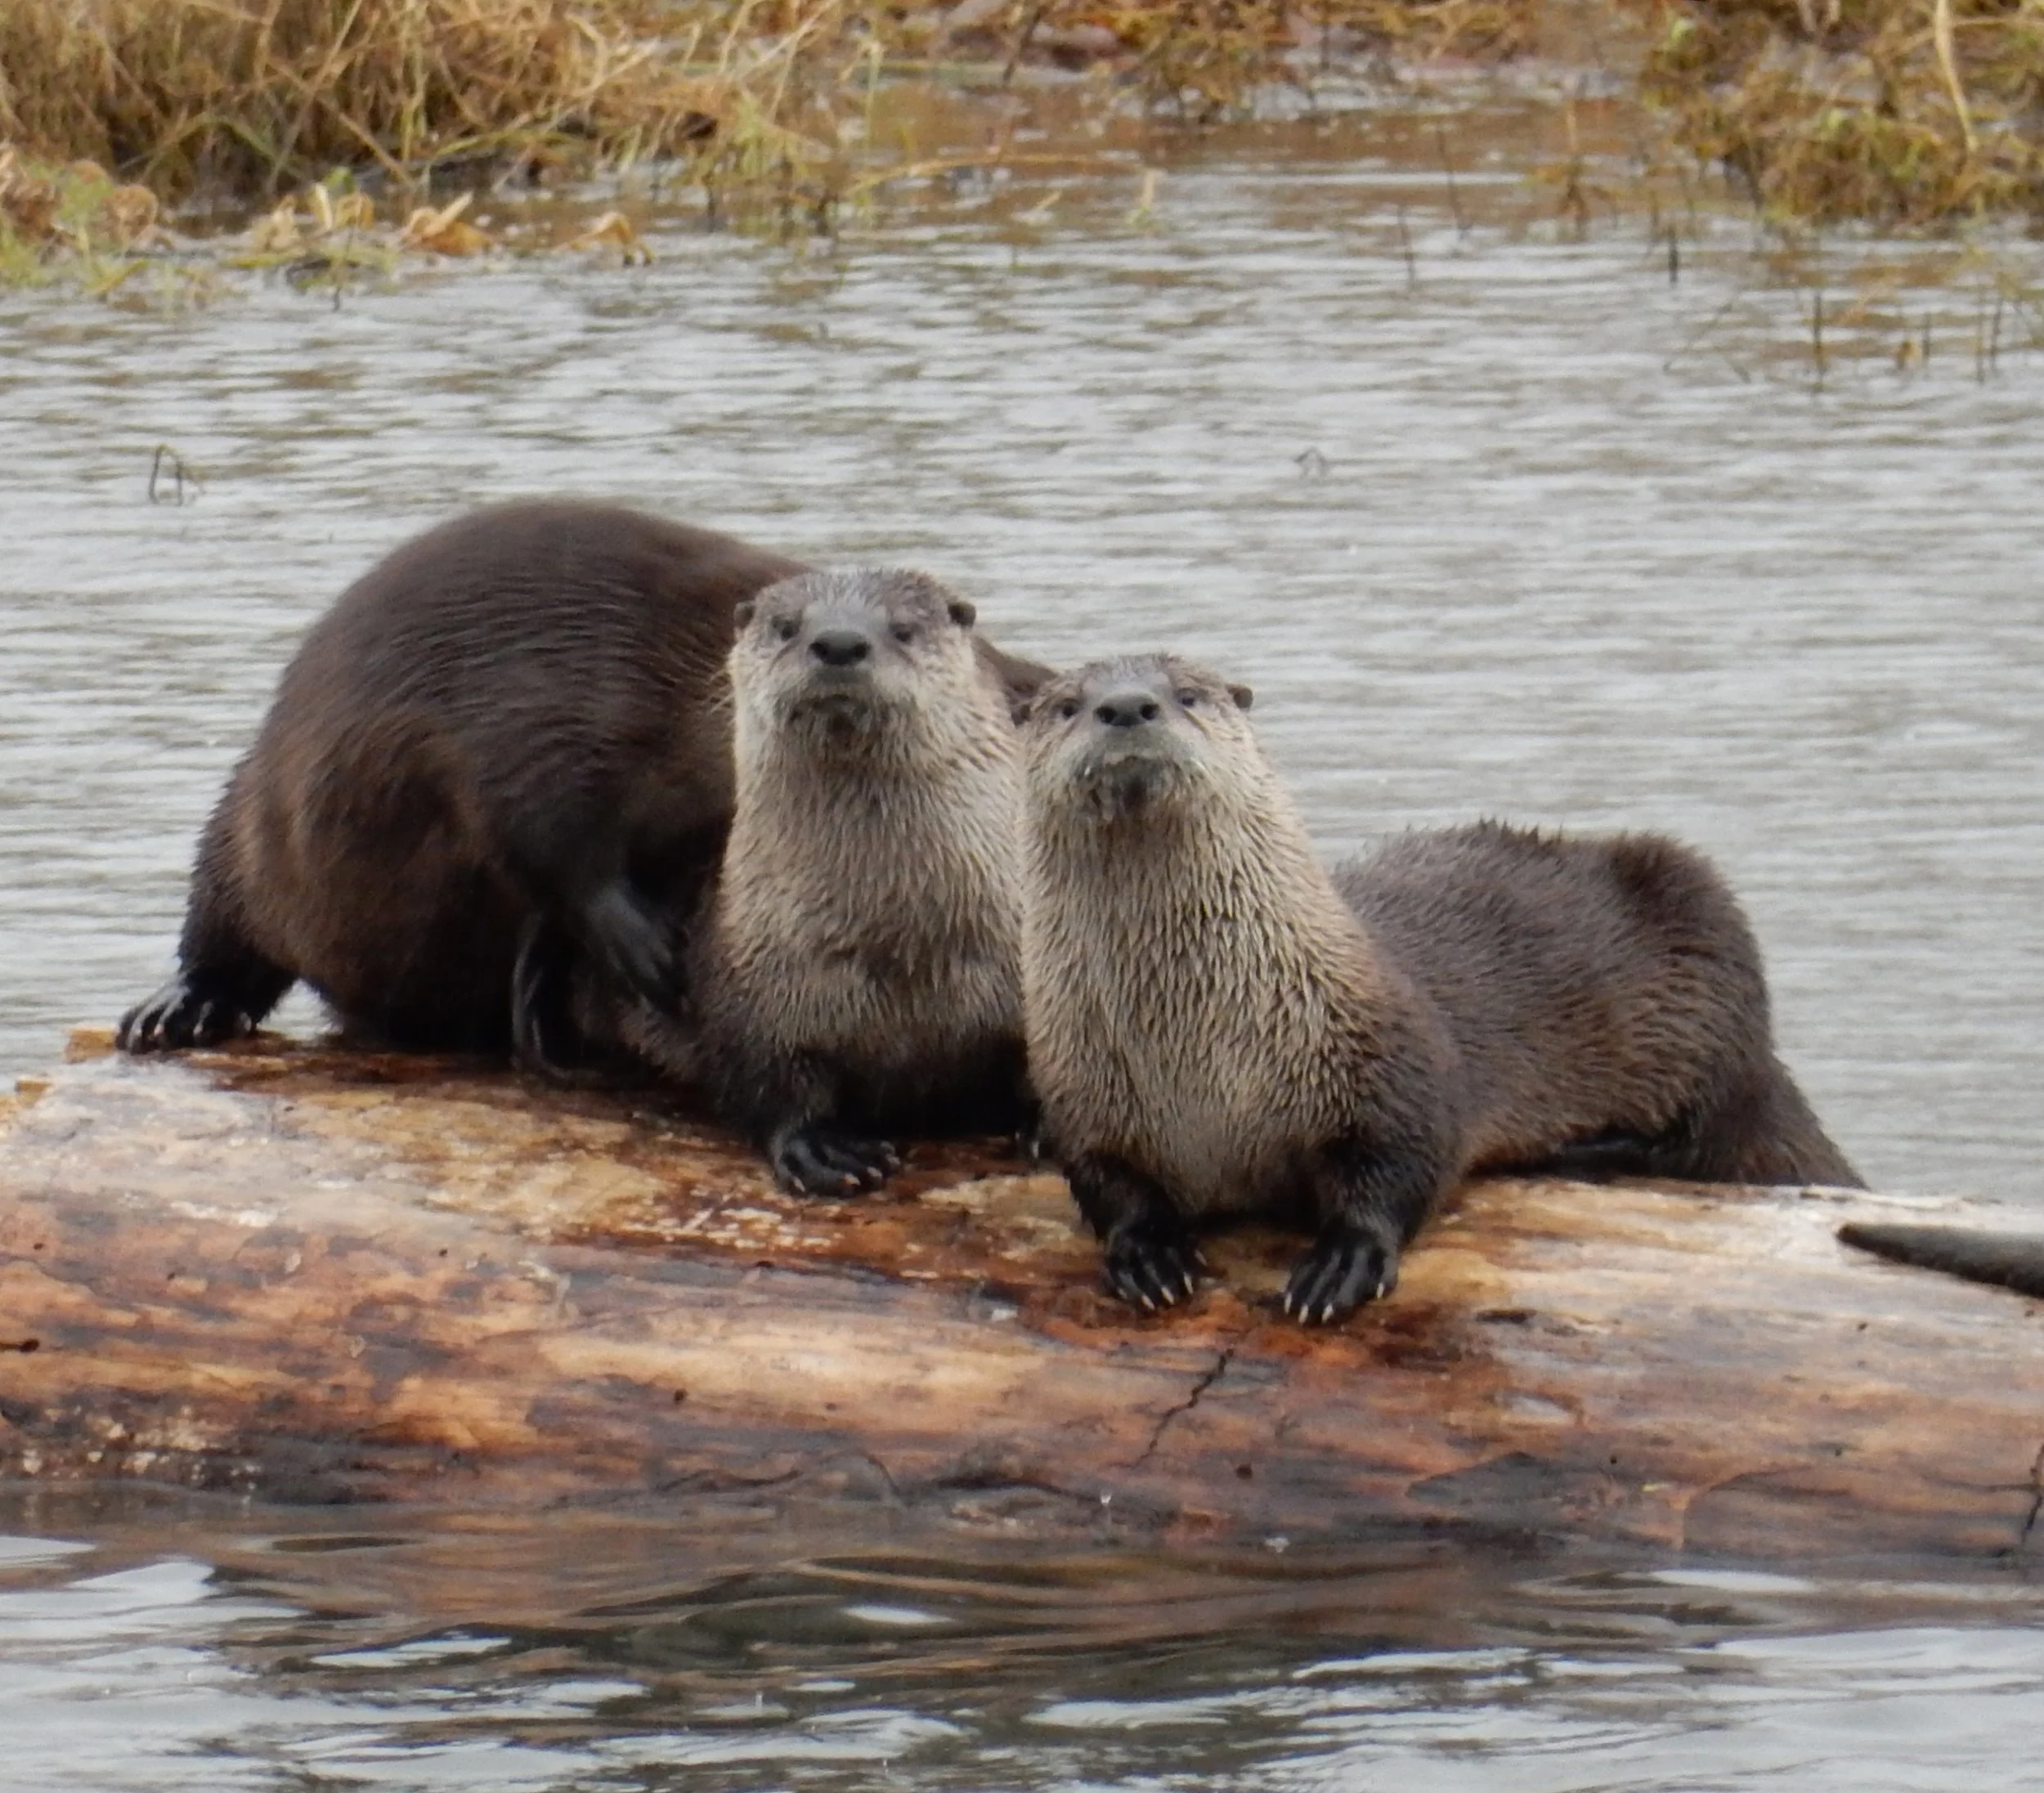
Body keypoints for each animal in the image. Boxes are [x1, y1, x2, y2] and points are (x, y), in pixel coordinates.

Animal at [116, 501, 1047, 1073]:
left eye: (906, 631)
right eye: (787, 627)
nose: (840, 644)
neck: (677, 696)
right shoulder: (544, 718)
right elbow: (548, 840)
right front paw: (643, 947)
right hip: (245, 809)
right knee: (221, 919)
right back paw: (177, 1009)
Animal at [588, 567, 1030, 1195]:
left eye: (903, 629)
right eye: (786, 626)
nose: (839, 643)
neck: (902, 948)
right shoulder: (753, 984)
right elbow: (765, 1076)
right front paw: (820, 1147)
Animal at [1018, 654, 1861, 1325]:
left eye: (1189, 693)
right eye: (1068, 704)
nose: (1128, 706)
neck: (1206, 1058)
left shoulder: (1390, 1061)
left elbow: (1411, 1155)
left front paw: (1344, 1259)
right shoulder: (1080, 1085)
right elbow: (1102, 1181)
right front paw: (1146, 1252)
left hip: (1707, 931)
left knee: (1705, 1123)